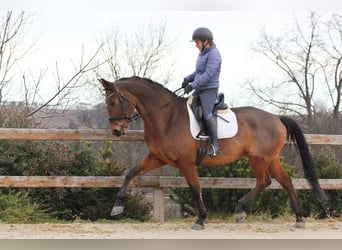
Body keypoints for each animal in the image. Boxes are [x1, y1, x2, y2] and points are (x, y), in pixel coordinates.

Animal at [98, 77, 326, 229]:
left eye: (113, 102)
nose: (117, 131)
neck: (166, 117)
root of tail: (276, 117)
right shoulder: (157, 158)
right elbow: (130, 173)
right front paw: (117, 207)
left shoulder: (186, 163)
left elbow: (195, 188)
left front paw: (201, 219)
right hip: (270, 159)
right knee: (285, 181)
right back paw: (298, 218)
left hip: (259, 159)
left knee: (264, 181)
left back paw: (240, 210)